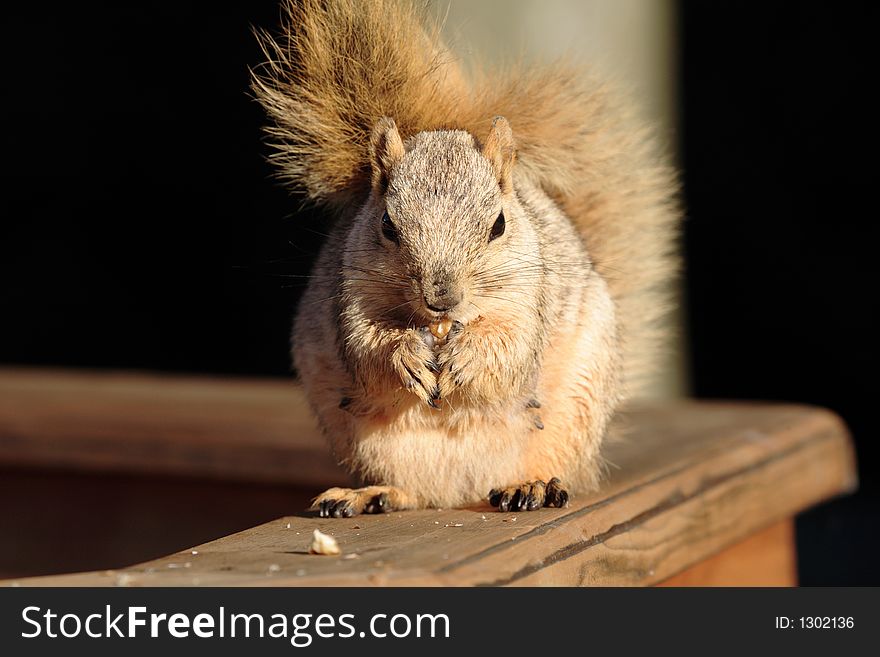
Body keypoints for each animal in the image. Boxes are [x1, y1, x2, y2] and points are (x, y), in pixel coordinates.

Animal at [251, 0, 676, 516]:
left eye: (499, 225)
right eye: (387, 225)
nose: (441, 298)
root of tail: (460, 492)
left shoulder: (531, 298)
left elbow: (513, 347)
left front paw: (468, 358)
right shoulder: (348, 294)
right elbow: (366, 346)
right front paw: (405, 354)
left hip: (573, 416)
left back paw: (531, 485)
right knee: (410, 490)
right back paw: (369, 493)